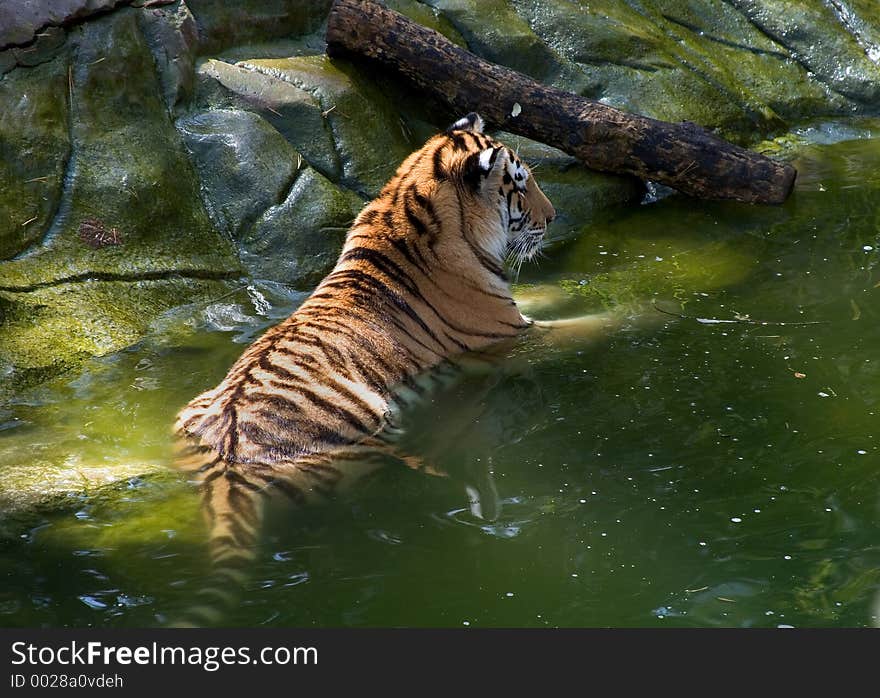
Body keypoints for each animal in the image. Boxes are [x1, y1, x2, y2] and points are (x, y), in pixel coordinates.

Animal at [170, 111, 600, 624]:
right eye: (520, 185)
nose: (552, 217)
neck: (403, 211)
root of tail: (226, 463)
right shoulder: (511, 335)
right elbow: (596, 323)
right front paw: (644, 309)